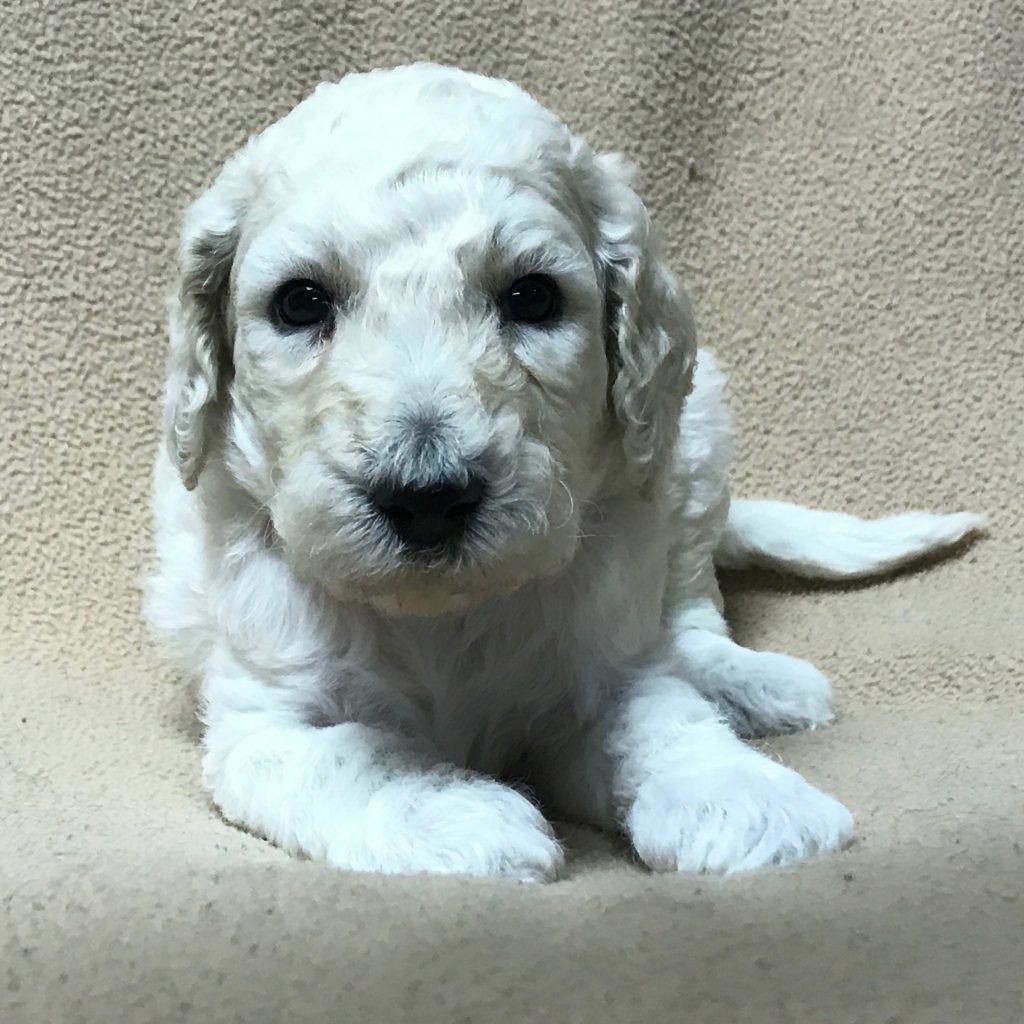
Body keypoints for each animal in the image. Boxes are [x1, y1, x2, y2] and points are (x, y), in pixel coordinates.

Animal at [146, 64, 983, 880]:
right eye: (300, 303)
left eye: (532, 296)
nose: (427, 501)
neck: (443, 615)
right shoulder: (268, 716)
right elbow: (354, 755)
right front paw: (459, 816)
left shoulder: (604, 665)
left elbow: (656, 717)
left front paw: (738, 797)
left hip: (694, 444)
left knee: (691, 613)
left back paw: (746, 683)